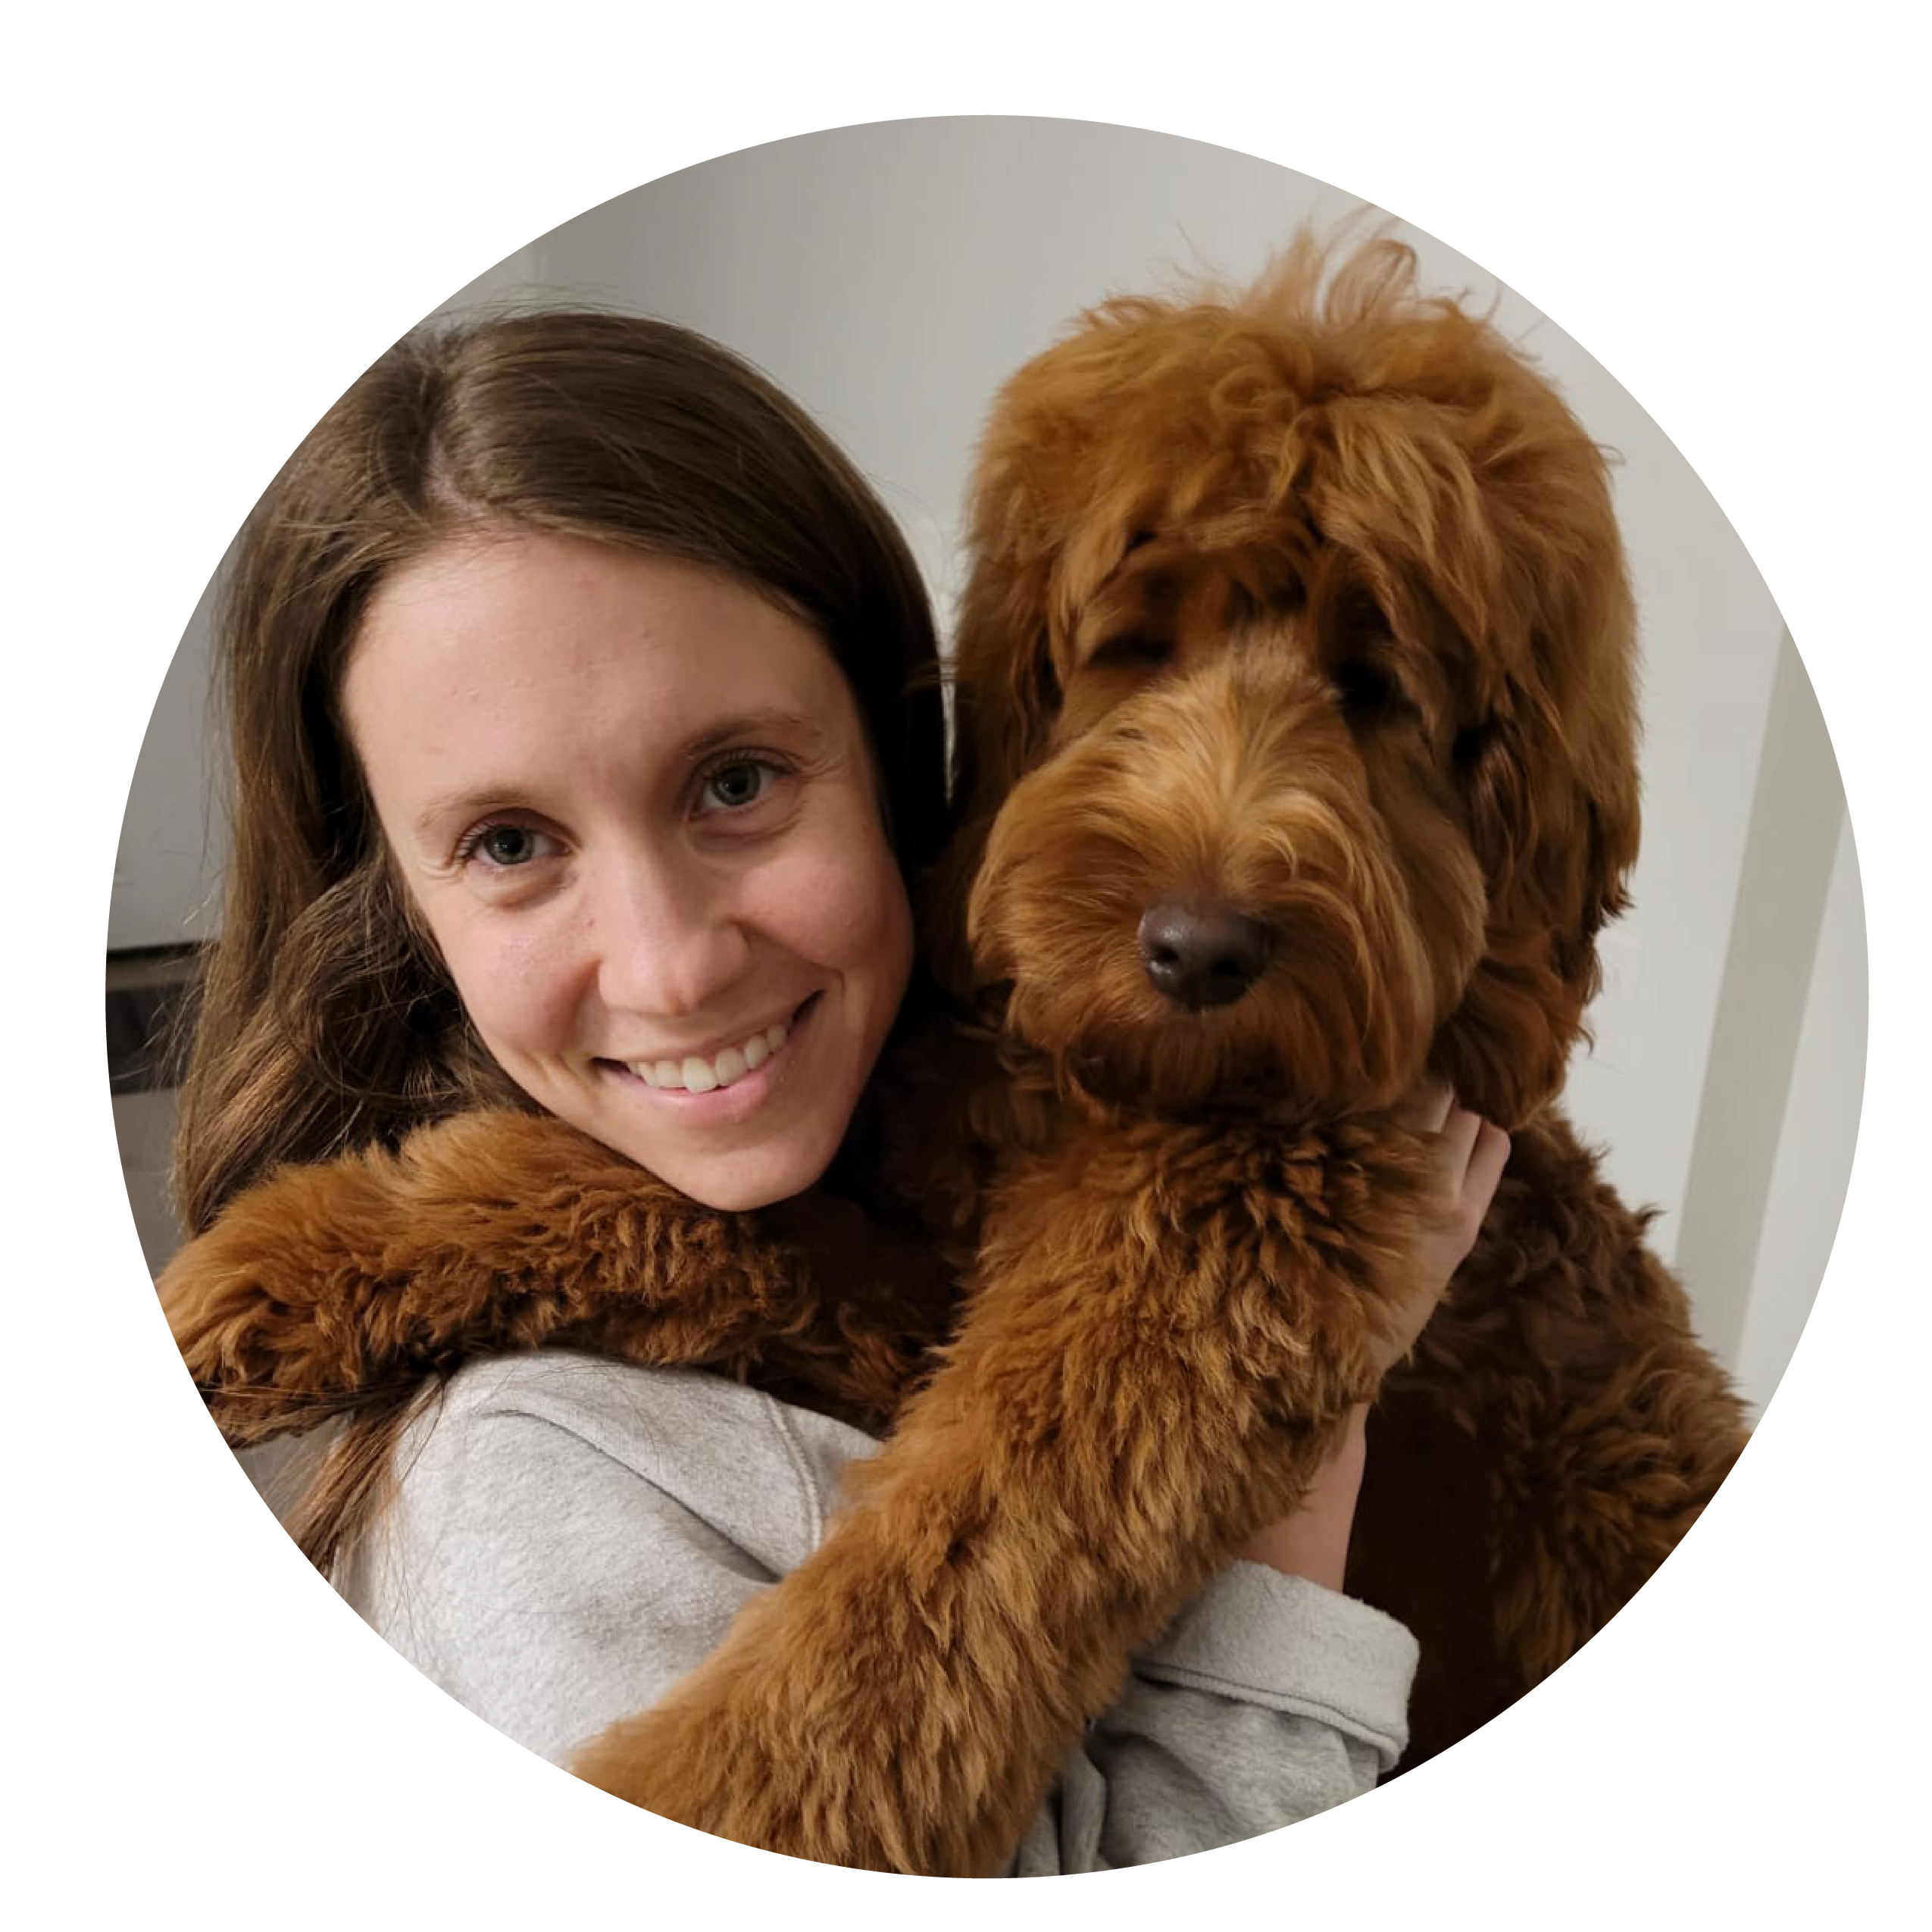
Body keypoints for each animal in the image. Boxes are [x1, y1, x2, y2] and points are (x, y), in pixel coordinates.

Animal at [162, 230, 1754, 1870]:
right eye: (1137, 645)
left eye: (1376, 690)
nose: (1198, 950)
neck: (1099, 1087)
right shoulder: (912, 1272)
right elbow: (683, 1211)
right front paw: (302, 1260)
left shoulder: (1202, 1276)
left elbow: (956, 1564)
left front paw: (712, 1795)